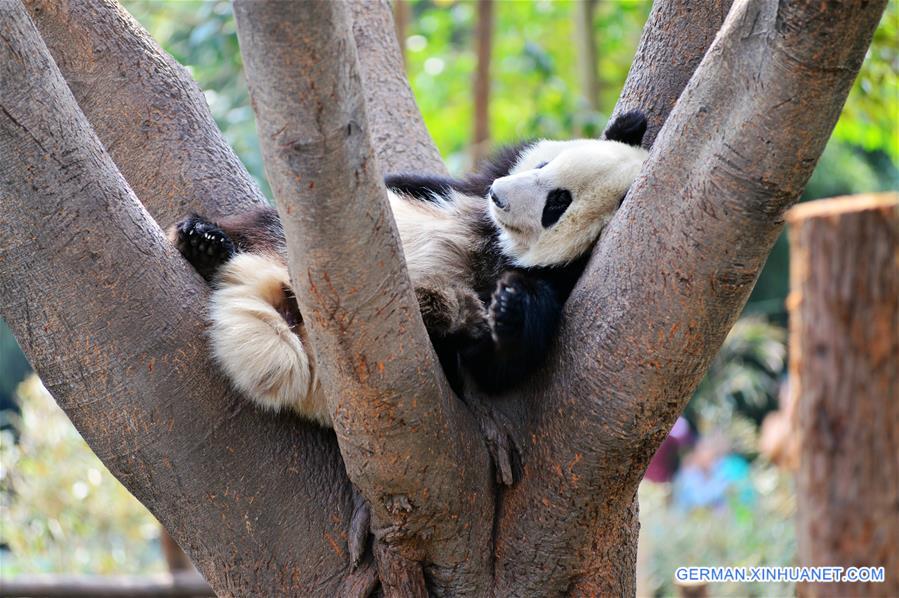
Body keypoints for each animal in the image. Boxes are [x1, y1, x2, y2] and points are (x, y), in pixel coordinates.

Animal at [171, 109, 648, 426]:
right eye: (544, 164)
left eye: (556, 204)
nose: (500, 195)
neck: (499, 242)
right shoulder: (464, 189)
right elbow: (409, 183)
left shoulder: (559, 280)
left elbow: (498, 369)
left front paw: (512, 306)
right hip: (282, 243)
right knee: (258, 225)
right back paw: (205, 243)